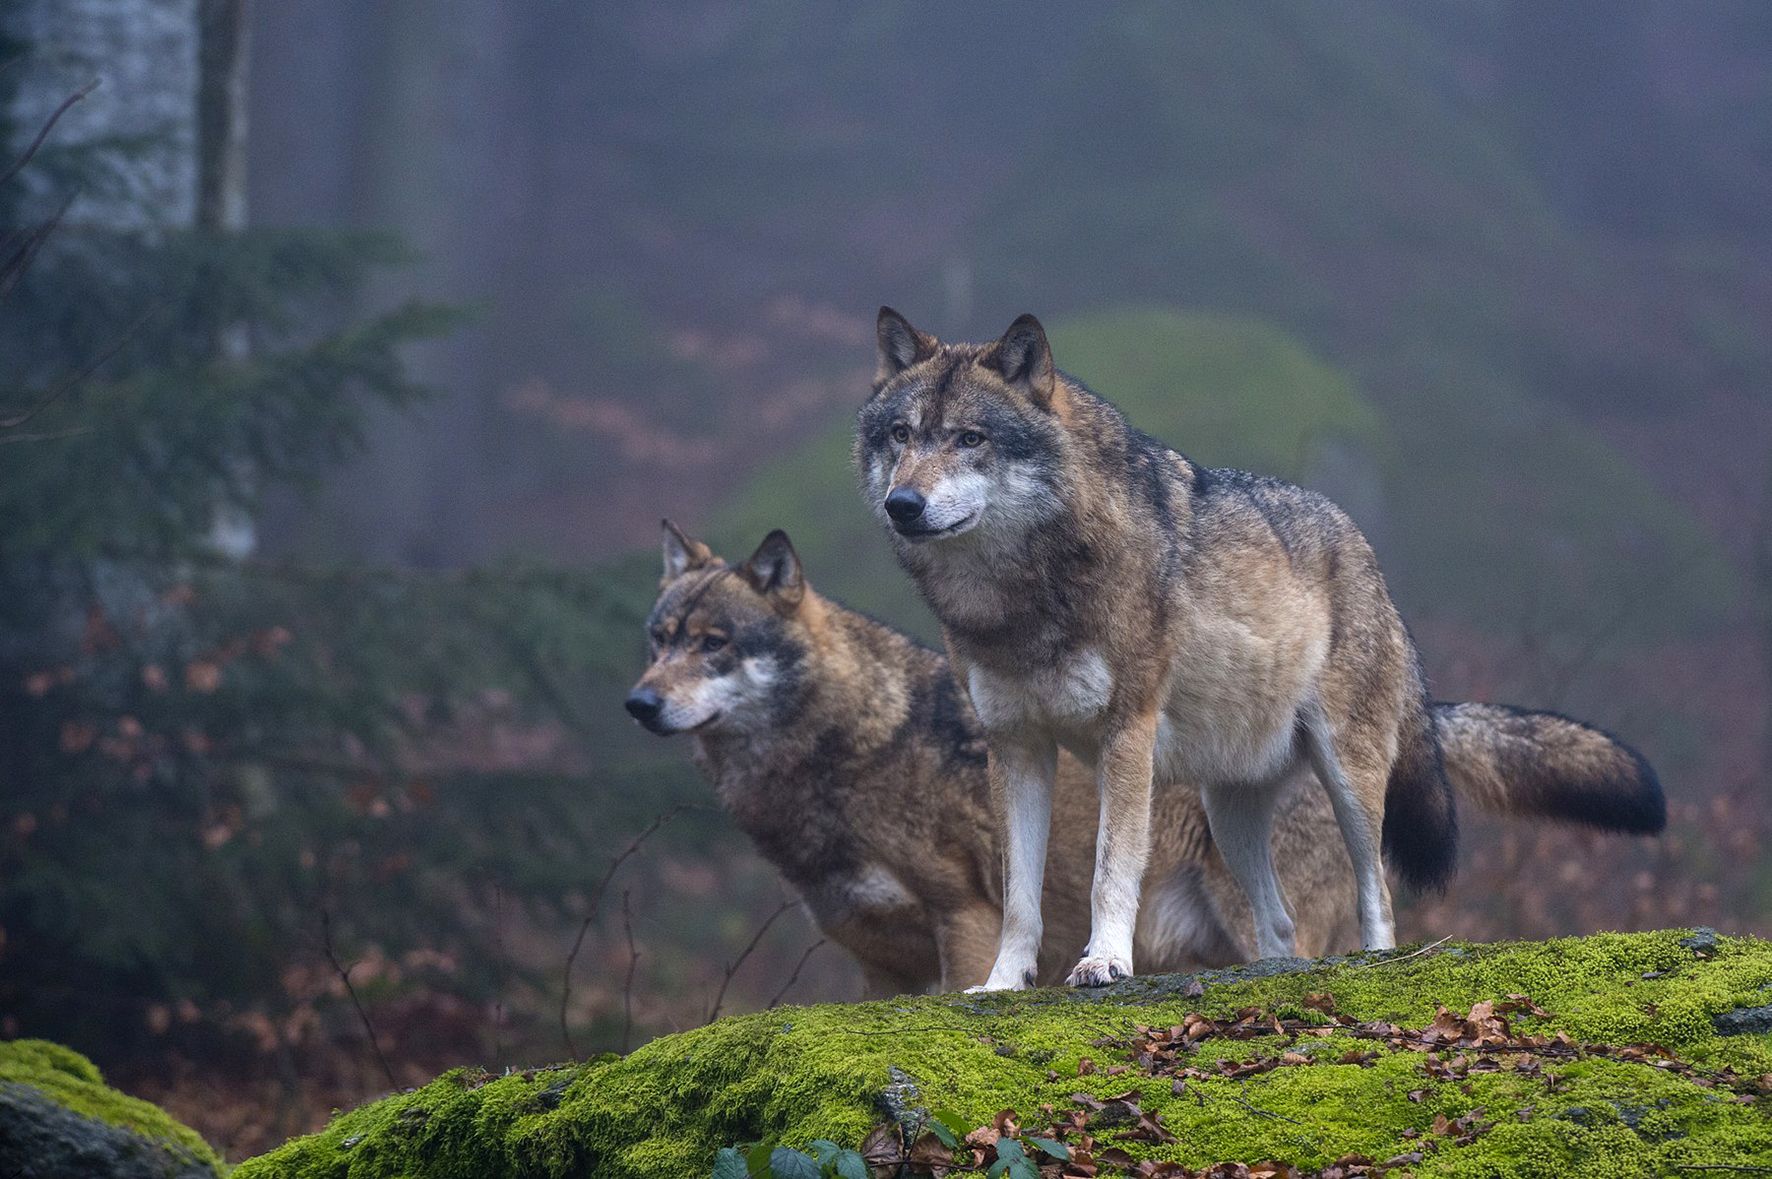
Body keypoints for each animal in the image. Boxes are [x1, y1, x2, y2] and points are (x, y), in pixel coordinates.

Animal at [854, 308, 1658, 985]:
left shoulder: (1127, 734)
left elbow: (1111, 870)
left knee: (1377, 894)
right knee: (1280, 926)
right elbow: (1020, 896)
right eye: (901, 435)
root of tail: (1364, 549)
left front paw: (1104, 963)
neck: (1018, 597)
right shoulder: (1017, 745)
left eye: (970, 438)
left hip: (1349, 779)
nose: (903, 505)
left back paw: (1375, 960)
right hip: (1229, 815)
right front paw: (1000, 984)